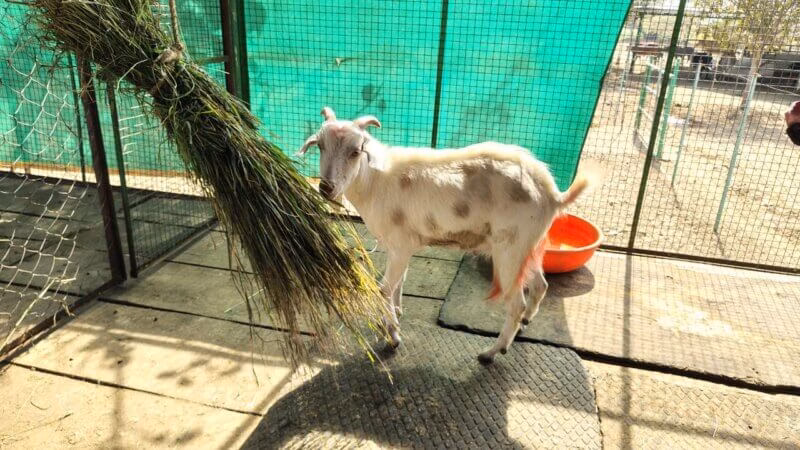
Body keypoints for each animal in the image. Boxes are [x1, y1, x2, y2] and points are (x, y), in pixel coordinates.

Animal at [298, 106, 589, 364]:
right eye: (320, 146)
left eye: (356, 151)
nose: (326, 188)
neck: (375, 182)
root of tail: (553, 194)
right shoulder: (399, 247)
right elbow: (399, 283)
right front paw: (396, 314)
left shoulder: (400, 244)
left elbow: (384, 289)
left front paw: (393, 336)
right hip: (529, 245)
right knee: (540, 285)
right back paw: (526, 322)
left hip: (509, 250)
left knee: (516, 303)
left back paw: (491, 353)